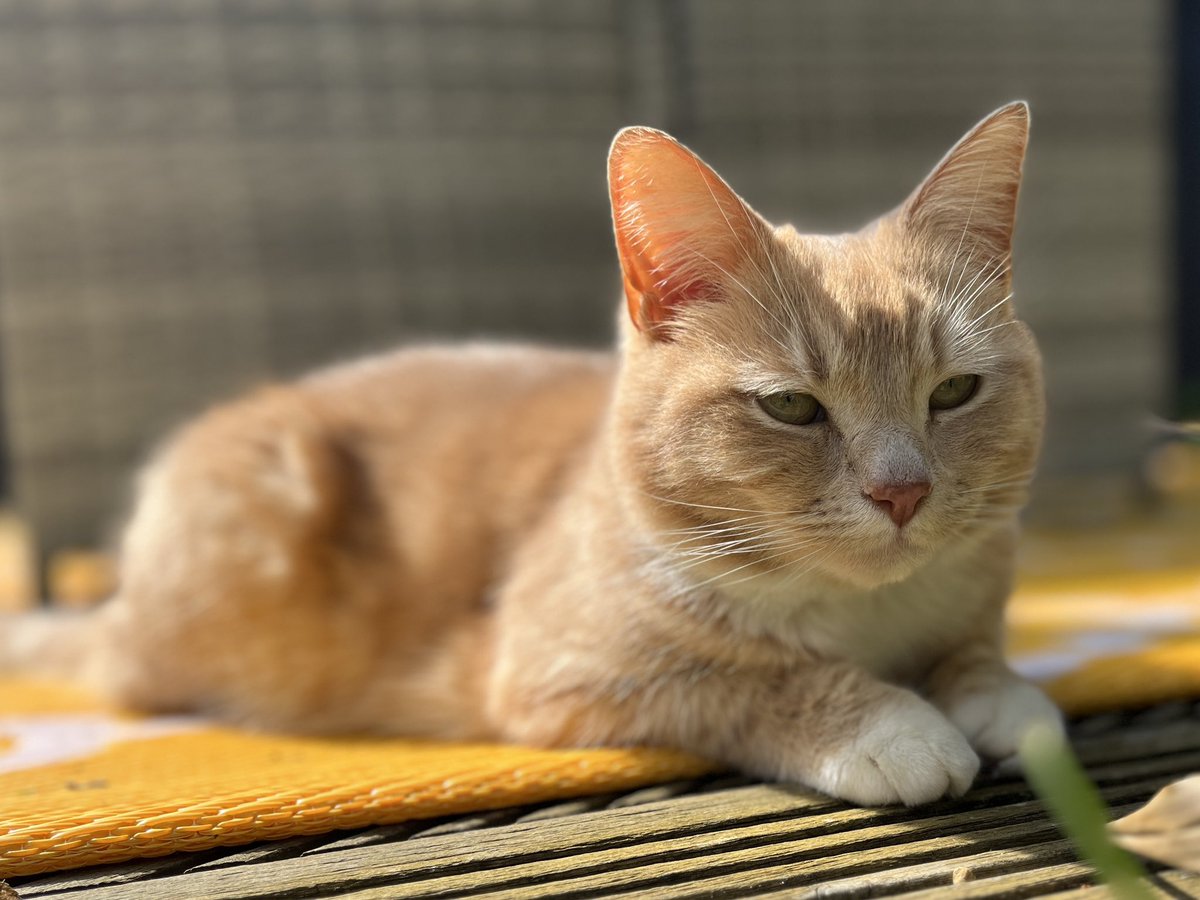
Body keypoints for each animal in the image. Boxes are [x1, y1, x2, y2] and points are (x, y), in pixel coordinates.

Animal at [7, 102, 1060, 806]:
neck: (863, 616)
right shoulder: (572, 671)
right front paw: (893, 723)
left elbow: (975, 653)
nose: (902, 492)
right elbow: (754, 677)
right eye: (791, 406)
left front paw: (997, 694)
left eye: (954, 392)